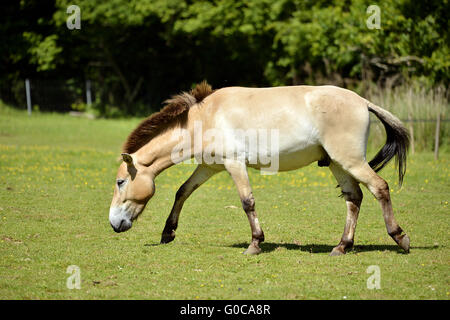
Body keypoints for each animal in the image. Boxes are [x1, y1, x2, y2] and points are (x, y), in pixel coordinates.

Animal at [109, 81, 412, 256]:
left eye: (120, 182)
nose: (114, 224)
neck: (204, 118)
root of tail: (363, 102)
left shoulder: (234, 164)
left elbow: (247, 202)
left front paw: (255, 244)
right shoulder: (210, 167)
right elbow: (182, 192)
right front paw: (167, 233)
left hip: (350, 161)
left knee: (379, 187)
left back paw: (400, 238)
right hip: (337, 163)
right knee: (354, 198)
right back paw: (341, 246)